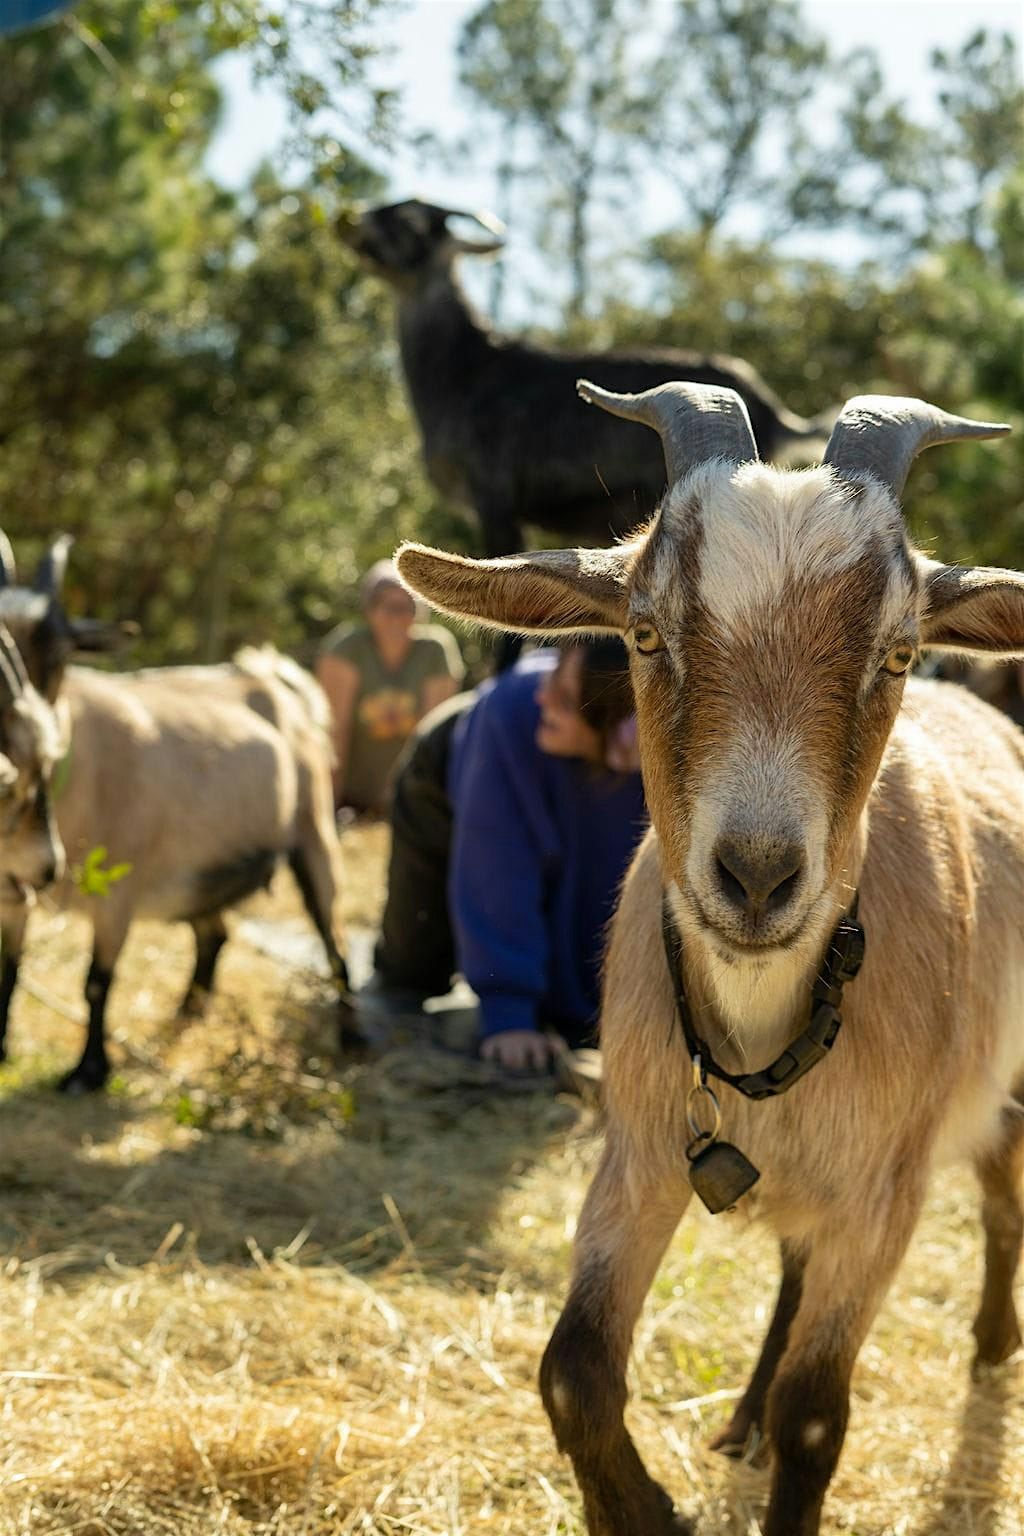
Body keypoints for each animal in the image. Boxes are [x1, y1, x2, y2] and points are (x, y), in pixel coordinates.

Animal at [396, 384, 1024, 1536]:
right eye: (645, 633)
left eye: (898, 651)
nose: (758, 876)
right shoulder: (640, 1149)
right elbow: (574, 1370)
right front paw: (647, 1509)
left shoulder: (886, 1189)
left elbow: (817, 1415)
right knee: (794, 1254)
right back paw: (742, 1420)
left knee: (1002, 1172)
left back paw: (993, 1343)